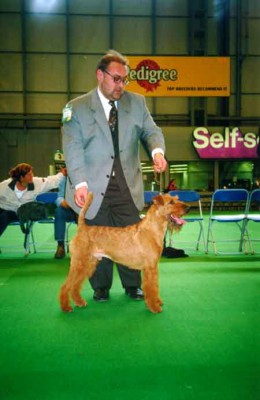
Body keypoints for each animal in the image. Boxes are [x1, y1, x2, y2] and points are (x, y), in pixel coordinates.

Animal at [59, 192, 189, 314]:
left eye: (177, 199)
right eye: (171, 202)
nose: (187, 207)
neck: (152, 230)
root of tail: (82, 228)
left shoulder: (152, 267)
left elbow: (155, 286)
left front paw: (157, 302)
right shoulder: (150, 268)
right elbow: (151, 288)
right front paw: (154, 307)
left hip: (89, 263)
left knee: (75, 285)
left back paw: (79, 302)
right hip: (79, 263)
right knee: (66, 286)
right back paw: (66, 307)